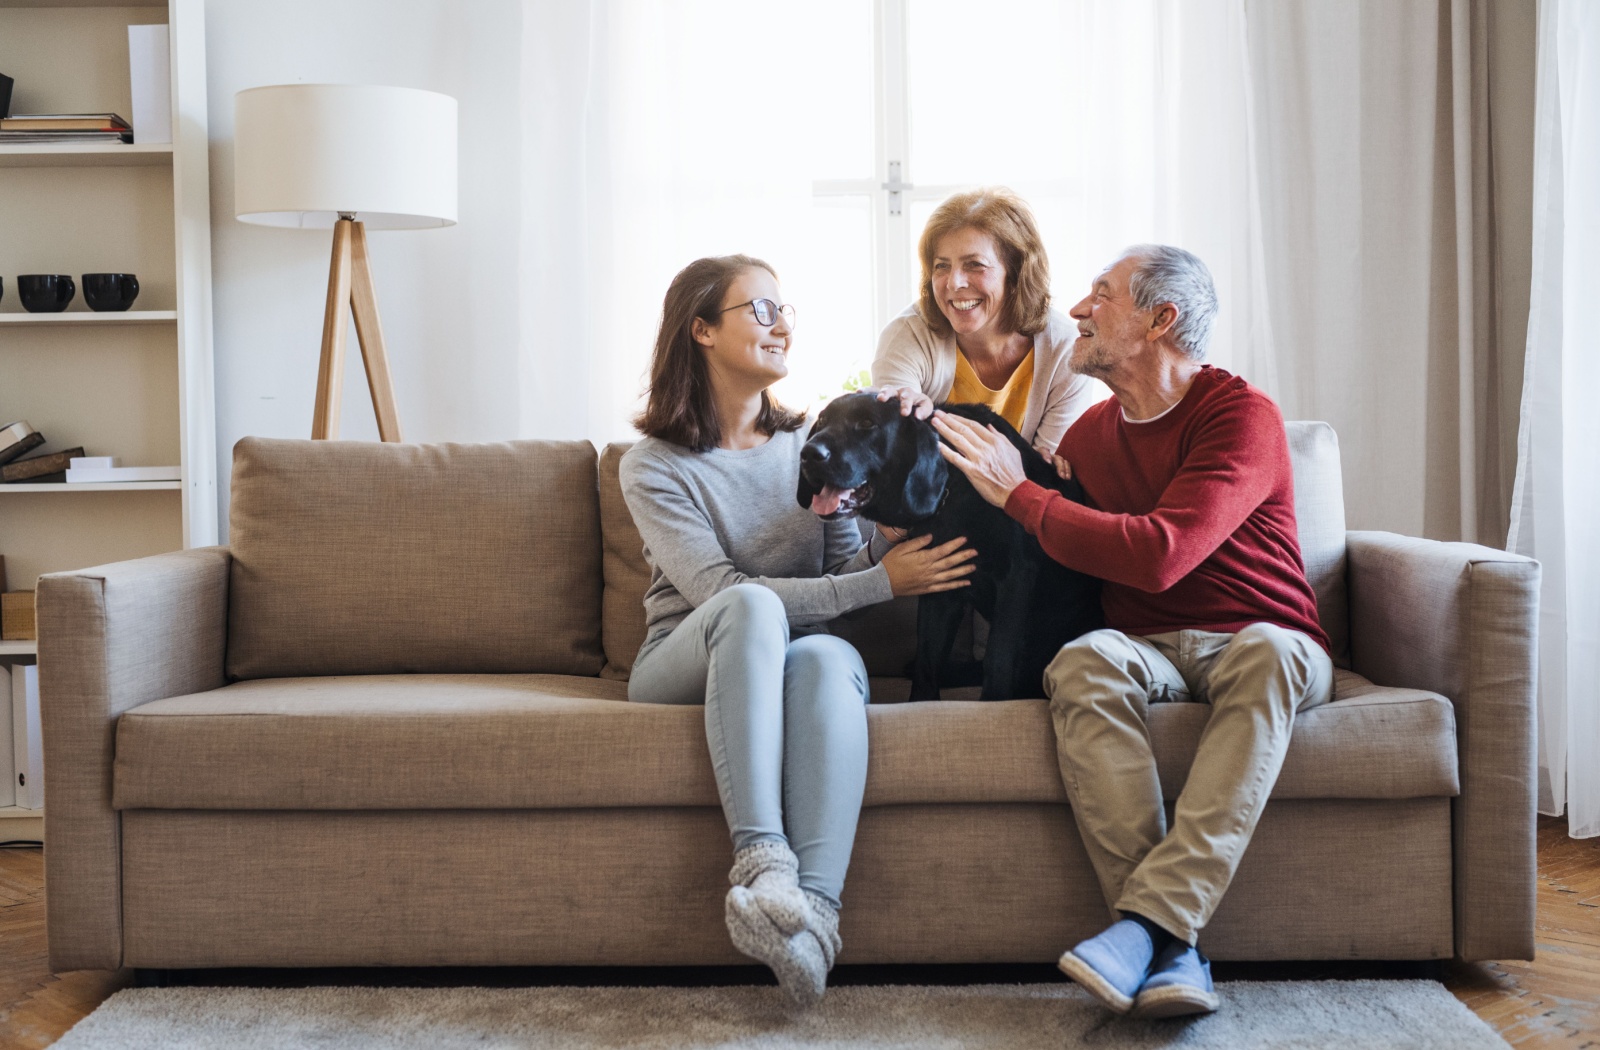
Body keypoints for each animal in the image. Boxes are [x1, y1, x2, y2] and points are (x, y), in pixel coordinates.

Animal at [796, 388, 1100, 701]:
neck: (953, 488)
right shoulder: (941, 588)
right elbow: (927, 659)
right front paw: (921, 702)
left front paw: (992, 703)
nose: (808, 454)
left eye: (867, 423)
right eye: (822, 421)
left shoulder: (1016, 577)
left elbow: (998, 657)